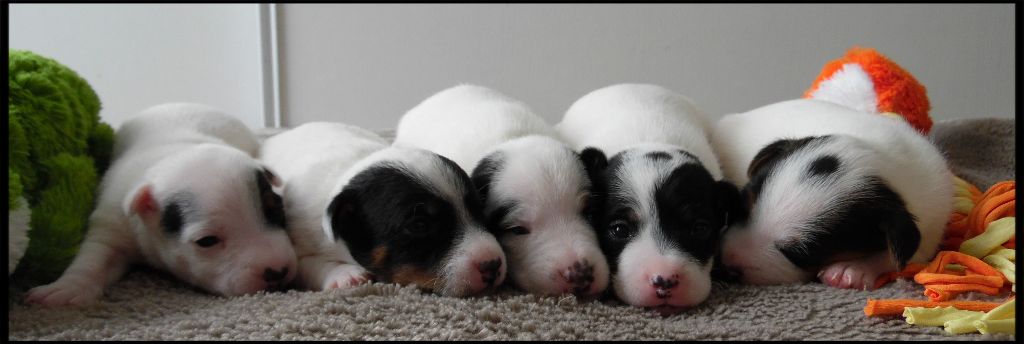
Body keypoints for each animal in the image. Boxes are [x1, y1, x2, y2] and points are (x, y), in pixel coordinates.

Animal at [25, 102, 296, 307]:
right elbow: (95, 256)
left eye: (277, 211)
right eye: (206, 241)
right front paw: (65, 288)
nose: (278, 272)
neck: (172, 156)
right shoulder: (113, 222)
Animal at [260, 122, 507, 296]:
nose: (493, 264)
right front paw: (345, 274)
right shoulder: (297, 238)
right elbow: (303, 264)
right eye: (420, 225)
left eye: (479, 209)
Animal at [708, 99, 954, 290]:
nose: (723, 265)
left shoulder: (927, 231)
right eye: (741, 207)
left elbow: (895, 258)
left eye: (798, 253)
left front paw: (853, 269)